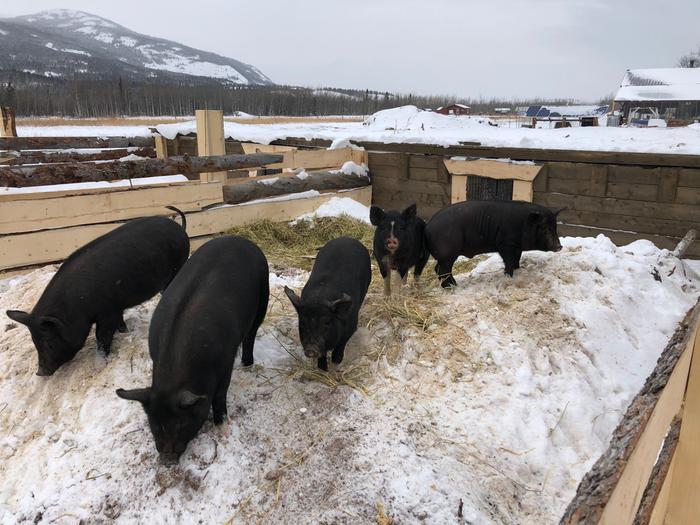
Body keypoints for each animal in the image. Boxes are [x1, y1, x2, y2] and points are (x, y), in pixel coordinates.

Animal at [4, 207, 189, 374]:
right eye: (34, 342)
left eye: (49, 343)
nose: (40, 372)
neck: (75, 305)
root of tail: (179, 228)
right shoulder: (115, 308)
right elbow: (120, 323)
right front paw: (125, 331)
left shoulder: (106, 313)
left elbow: (102, 336)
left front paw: (99, 366)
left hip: (178, 266)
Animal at [115, 237, 268, 462]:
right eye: (155, 425)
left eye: (181, 424)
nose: (167, 458)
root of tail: (241, 239)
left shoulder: (226, 362)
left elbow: (220, 394)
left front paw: (223, 427)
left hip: (263, 296)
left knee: (251, 335)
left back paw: (248, 364)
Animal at [284, 235, 372, 370]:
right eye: (302, 322)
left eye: (326, 322)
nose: (311, 349)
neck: (319, 297)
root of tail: (347, 238)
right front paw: (323, 368)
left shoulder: (352, 326)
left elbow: (341, 344)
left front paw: (336, 362)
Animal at [422, 200, 564, 286]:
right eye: (544, 229)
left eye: (555, 227)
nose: (559, 246)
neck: (524, 224)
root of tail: (427, 227)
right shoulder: (505, 244)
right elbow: (509, 262)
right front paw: (508, 277)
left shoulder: (517, 247)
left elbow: (516, 260)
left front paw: (518, 271)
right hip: (448, 253)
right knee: (442, 270)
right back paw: (453, 287)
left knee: (438, 269)